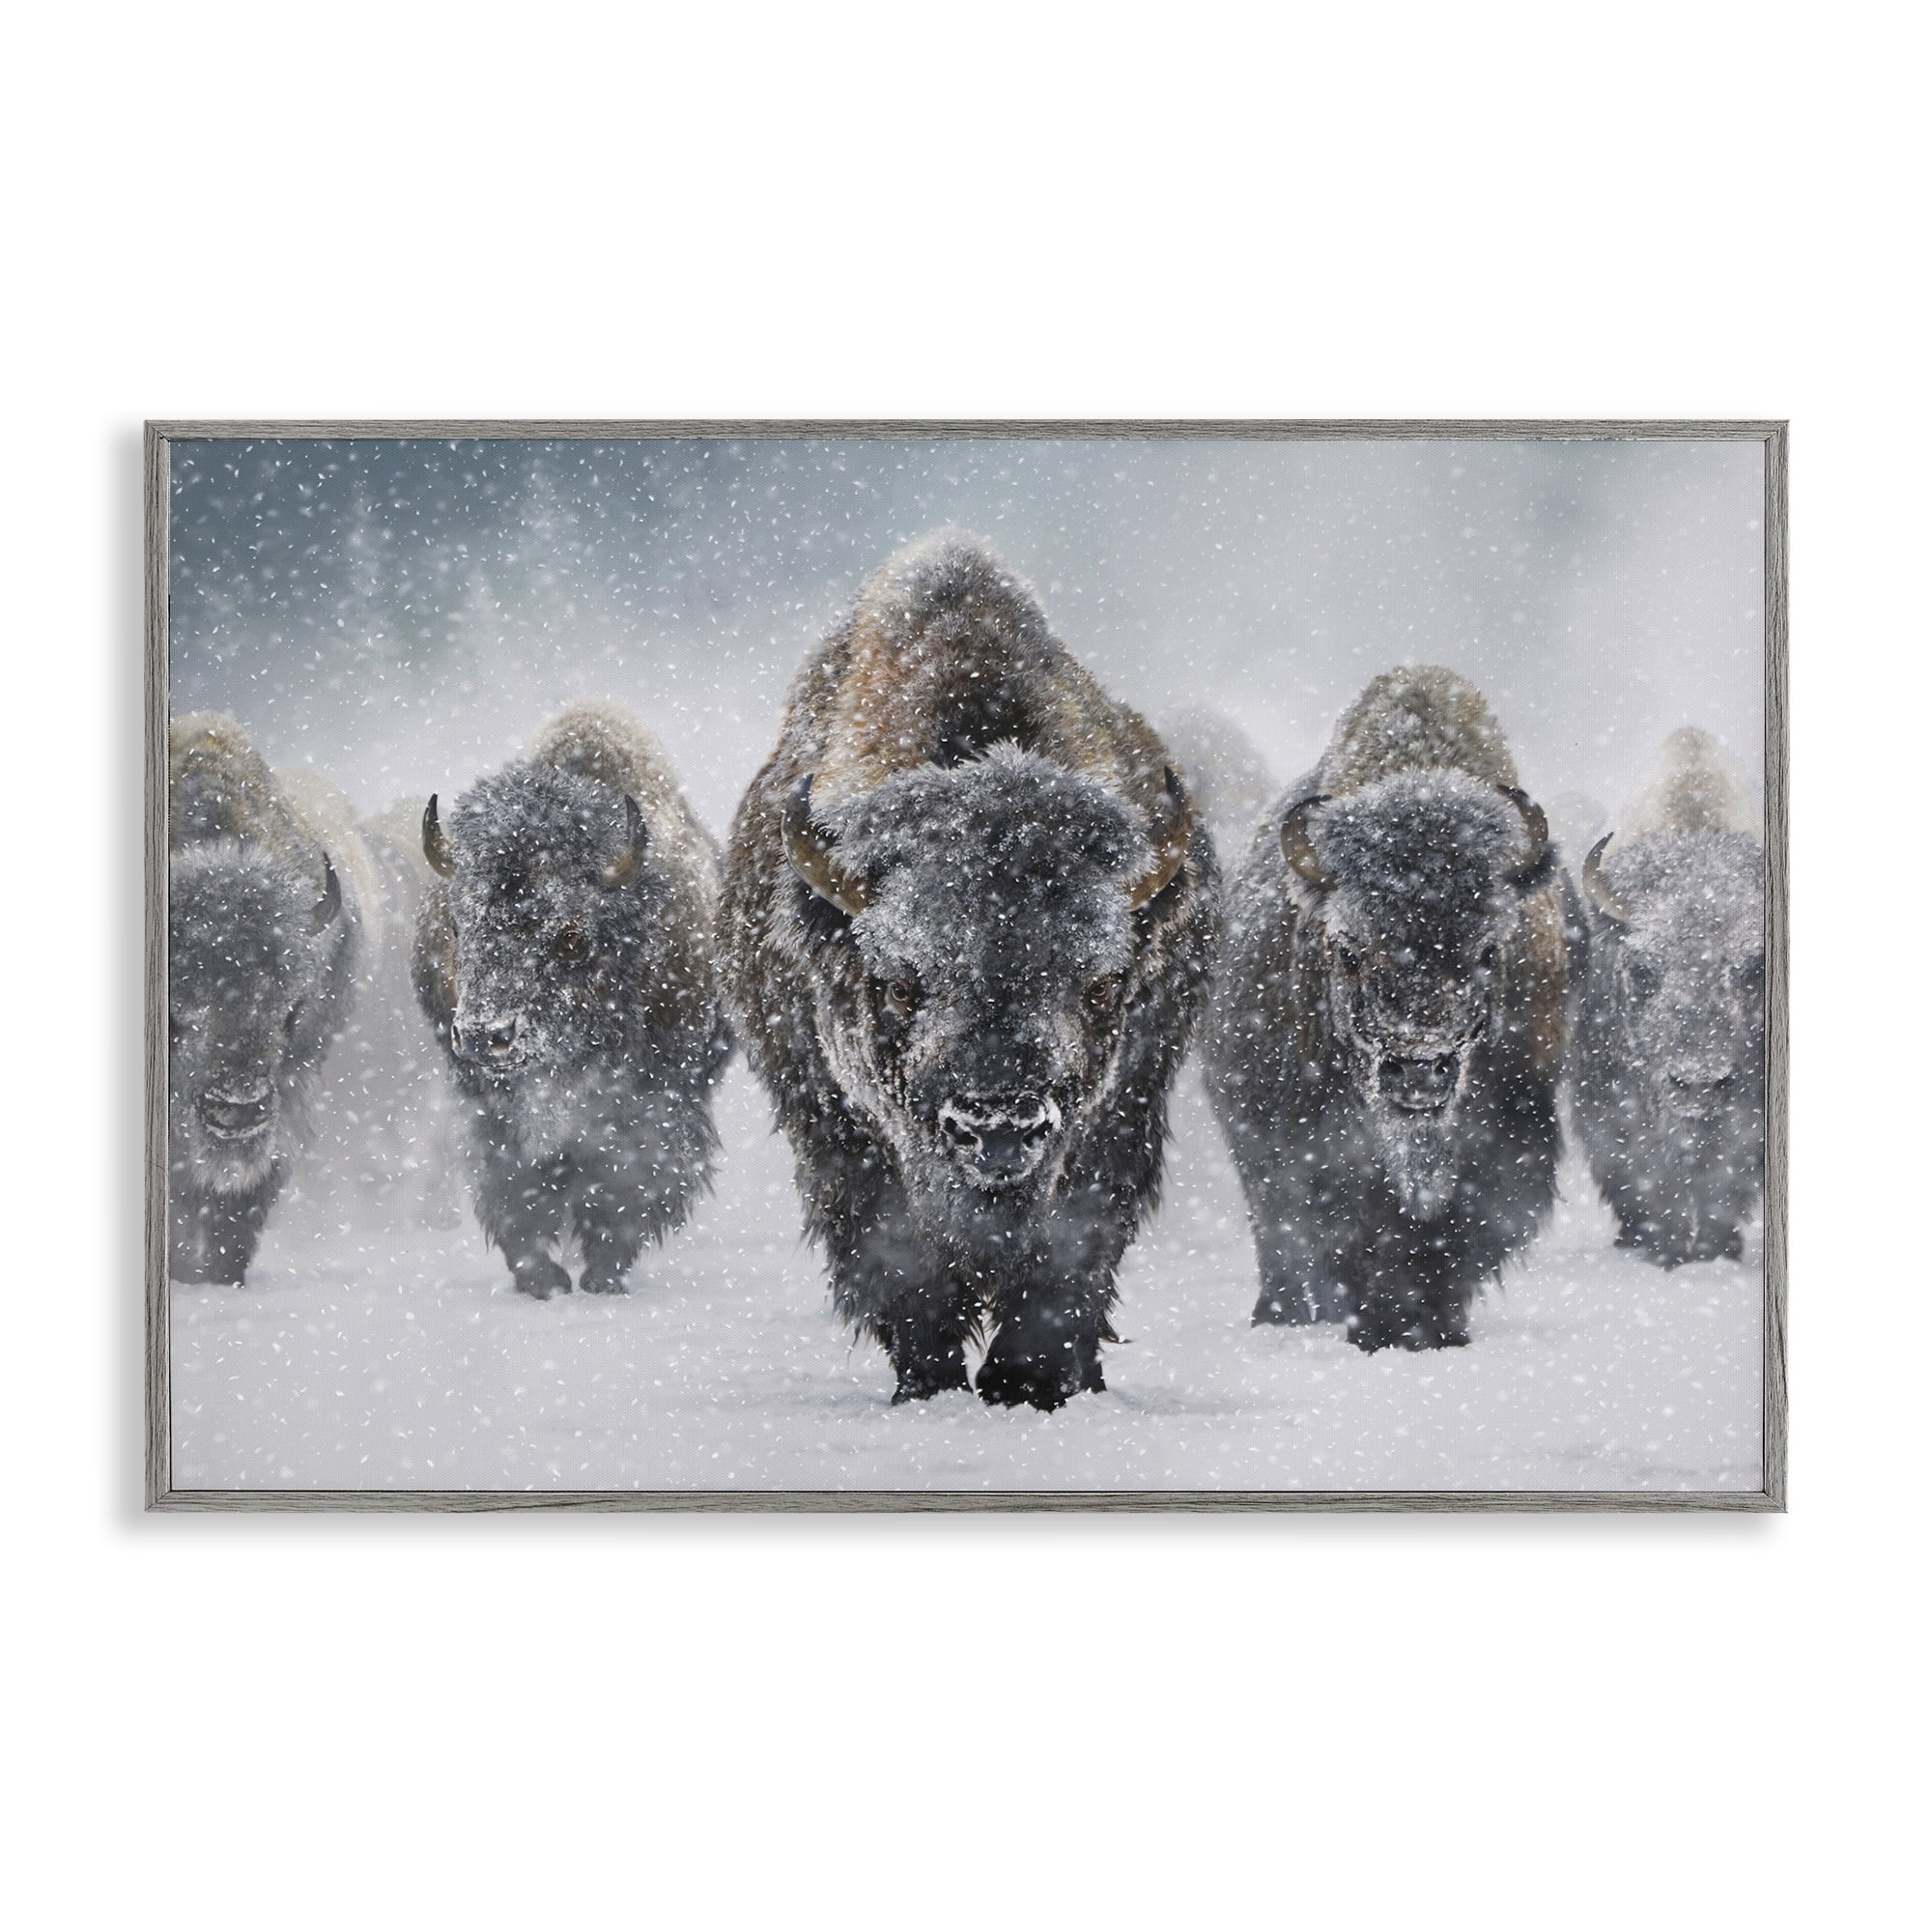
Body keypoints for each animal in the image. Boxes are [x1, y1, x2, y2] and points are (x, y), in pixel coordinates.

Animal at [413, 702, 731, 1298]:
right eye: (461, 927)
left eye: (570, 936)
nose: (486, 1036)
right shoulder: (491, 1109)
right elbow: (513, 1190)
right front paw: (543, 1279)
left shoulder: (657, 1104)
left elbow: (629, 1187)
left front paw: (602, 1275)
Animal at [721, 531, 1219, 1409]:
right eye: (898, 984)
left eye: (1101, 984)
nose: (999, 1125)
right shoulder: (840, 1134)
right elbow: (899, 1267)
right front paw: (931, 1384)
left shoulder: (1120, 1114)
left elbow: (1067, 1259)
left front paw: (1030, 1383)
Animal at [1204, 666, 1572, 1351]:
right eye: (1349, 949)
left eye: (1489, 950)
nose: (1419, 1071)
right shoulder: (1315, 1149)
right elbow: (1354, 1231)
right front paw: (1378, 1328)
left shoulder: (1507, 1146)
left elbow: (1455, 1236)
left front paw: (1436, 1329)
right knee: (1279, 1239)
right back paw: (1280, 1313)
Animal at [1573, 728, 1765, 1266]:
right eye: (1642, 969)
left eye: (1753, 969)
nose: (1698, 1083)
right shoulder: (1615, 1114)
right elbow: (1651, 1184)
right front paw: (1662, 1249)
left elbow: (1723, 1186)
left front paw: (1716, 1251)